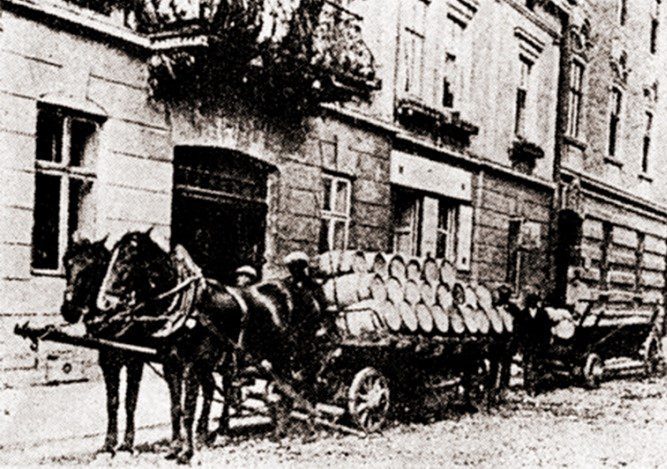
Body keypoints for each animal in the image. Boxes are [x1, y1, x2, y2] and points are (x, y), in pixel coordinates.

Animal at [95, 230, 322, 463]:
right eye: (111, 258)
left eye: (126, 260)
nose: (104, 303)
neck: (185, 304)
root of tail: (300, 291)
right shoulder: (171, 365)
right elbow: (175, 408)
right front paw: (174, 448)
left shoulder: (191, 366)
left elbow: (188, 410)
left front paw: (186, 452)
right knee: (282, 387)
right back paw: (277, 431)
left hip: (298, 352)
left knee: (304, 384)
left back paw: (307, 428)